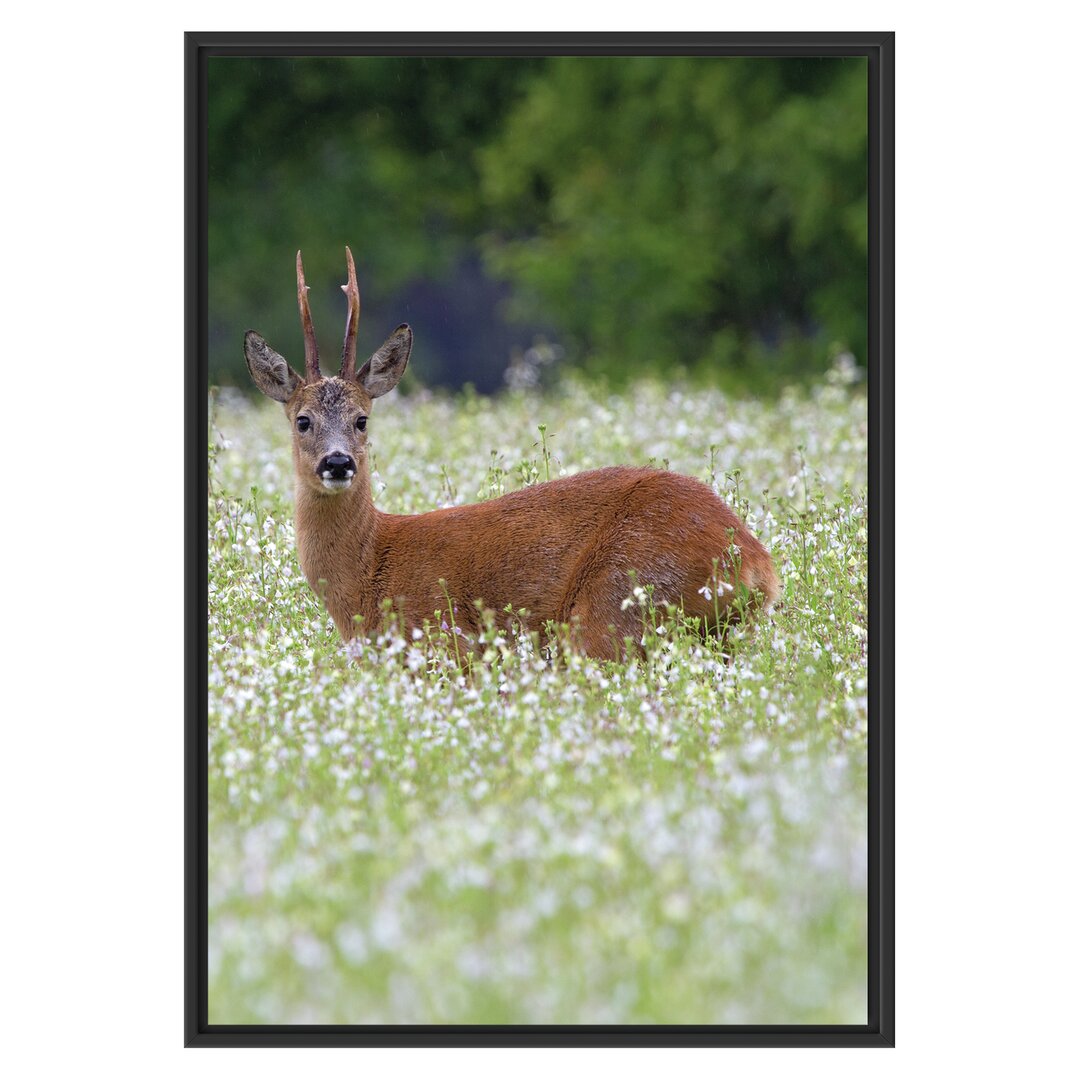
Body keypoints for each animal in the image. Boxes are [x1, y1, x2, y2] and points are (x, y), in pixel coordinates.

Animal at [245, 252, 781, 656]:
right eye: (302, 420)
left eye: (362, 419)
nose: (338, 462)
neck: (370, 570)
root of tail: (757, 563)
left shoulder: (444, 644)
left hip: (618, 605)